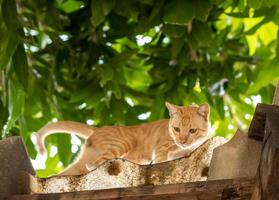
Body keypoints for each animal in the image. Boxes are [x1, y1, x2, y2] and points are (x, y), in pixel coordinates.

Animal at [36, 102, 210, 176]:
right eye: (176, 129)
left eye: (192, 130)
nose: (182, 141)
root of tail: (99, 128)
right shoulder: (161, 149)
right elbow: (161, 160)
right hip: (122, 144)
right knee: (93, 164)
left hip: (81, 162)